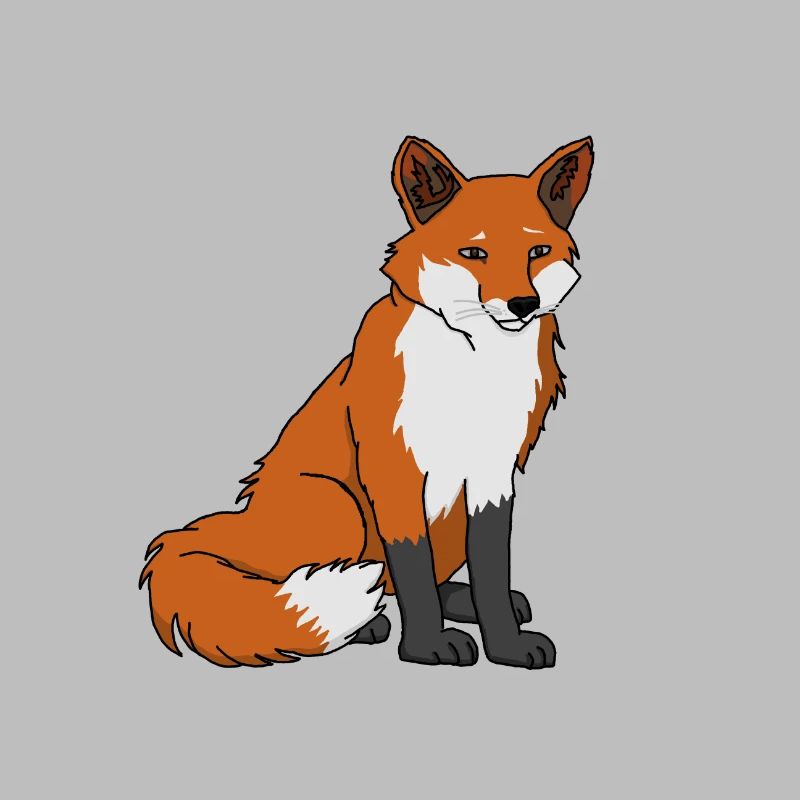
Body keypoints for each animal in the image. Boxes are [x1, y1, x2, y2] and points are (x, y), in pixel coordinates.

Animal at [140, 135, 594, 669]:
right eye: (474, 253)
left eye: (537, 252)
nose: (522, 304)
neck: (473, 372)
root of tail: (242, 527)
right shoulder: (393, 470)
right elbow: (414, 571)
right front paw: (425, 648)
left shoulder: (493, 475)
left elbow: (491, 571)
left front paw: (504, 645)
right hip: (338, 505)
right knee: (326, 583)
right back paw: (365, 624)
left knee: (416, 582)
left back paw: (457, 601)